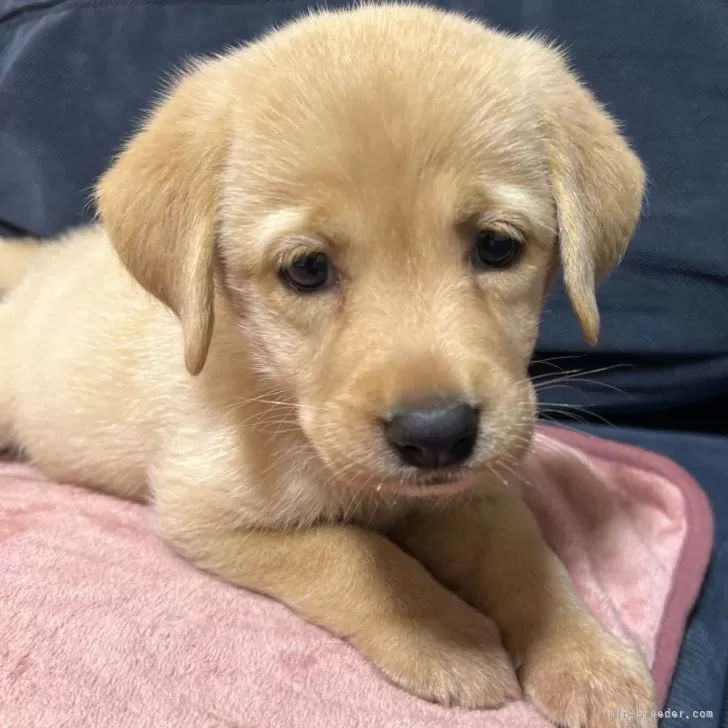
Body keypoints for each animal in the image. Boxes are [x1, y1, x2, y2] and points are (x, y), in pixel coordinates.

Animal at [0, 2, 656, 724]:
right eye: (308, 269)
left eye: (496, 246)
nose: (436, 435)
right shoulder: (203, 511)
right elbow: (353, 553)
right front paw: (446, 636)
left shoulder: (479, 493)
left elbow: (531, 561)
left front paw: (588, 660)